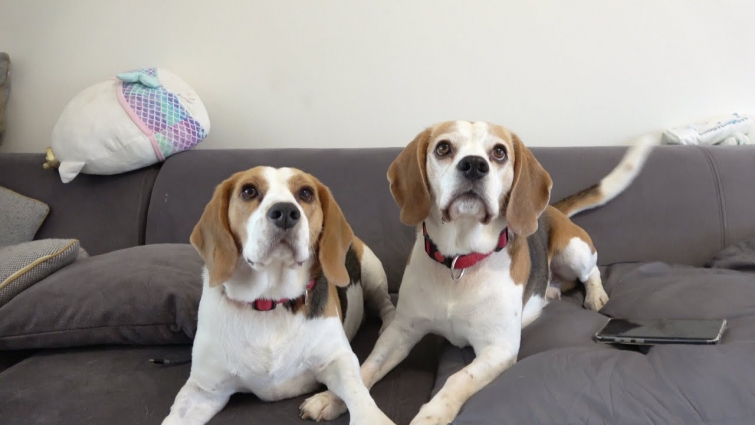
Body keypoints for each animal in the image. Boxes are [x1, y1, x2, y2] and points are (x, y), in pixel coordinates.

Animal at [298, 120, 652, 424]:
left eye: (499, 152)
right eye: (443, 148)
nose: (473, 165)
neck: (460, 262)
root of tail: (551, 209)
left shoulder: (498, 349)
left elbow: (457, 378)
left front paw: (431, 414)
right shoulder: (400, 332)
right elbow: (364, 370)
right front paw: (330, 399)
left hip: (574, 250)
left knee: (592, 272)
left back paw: (596, 295)